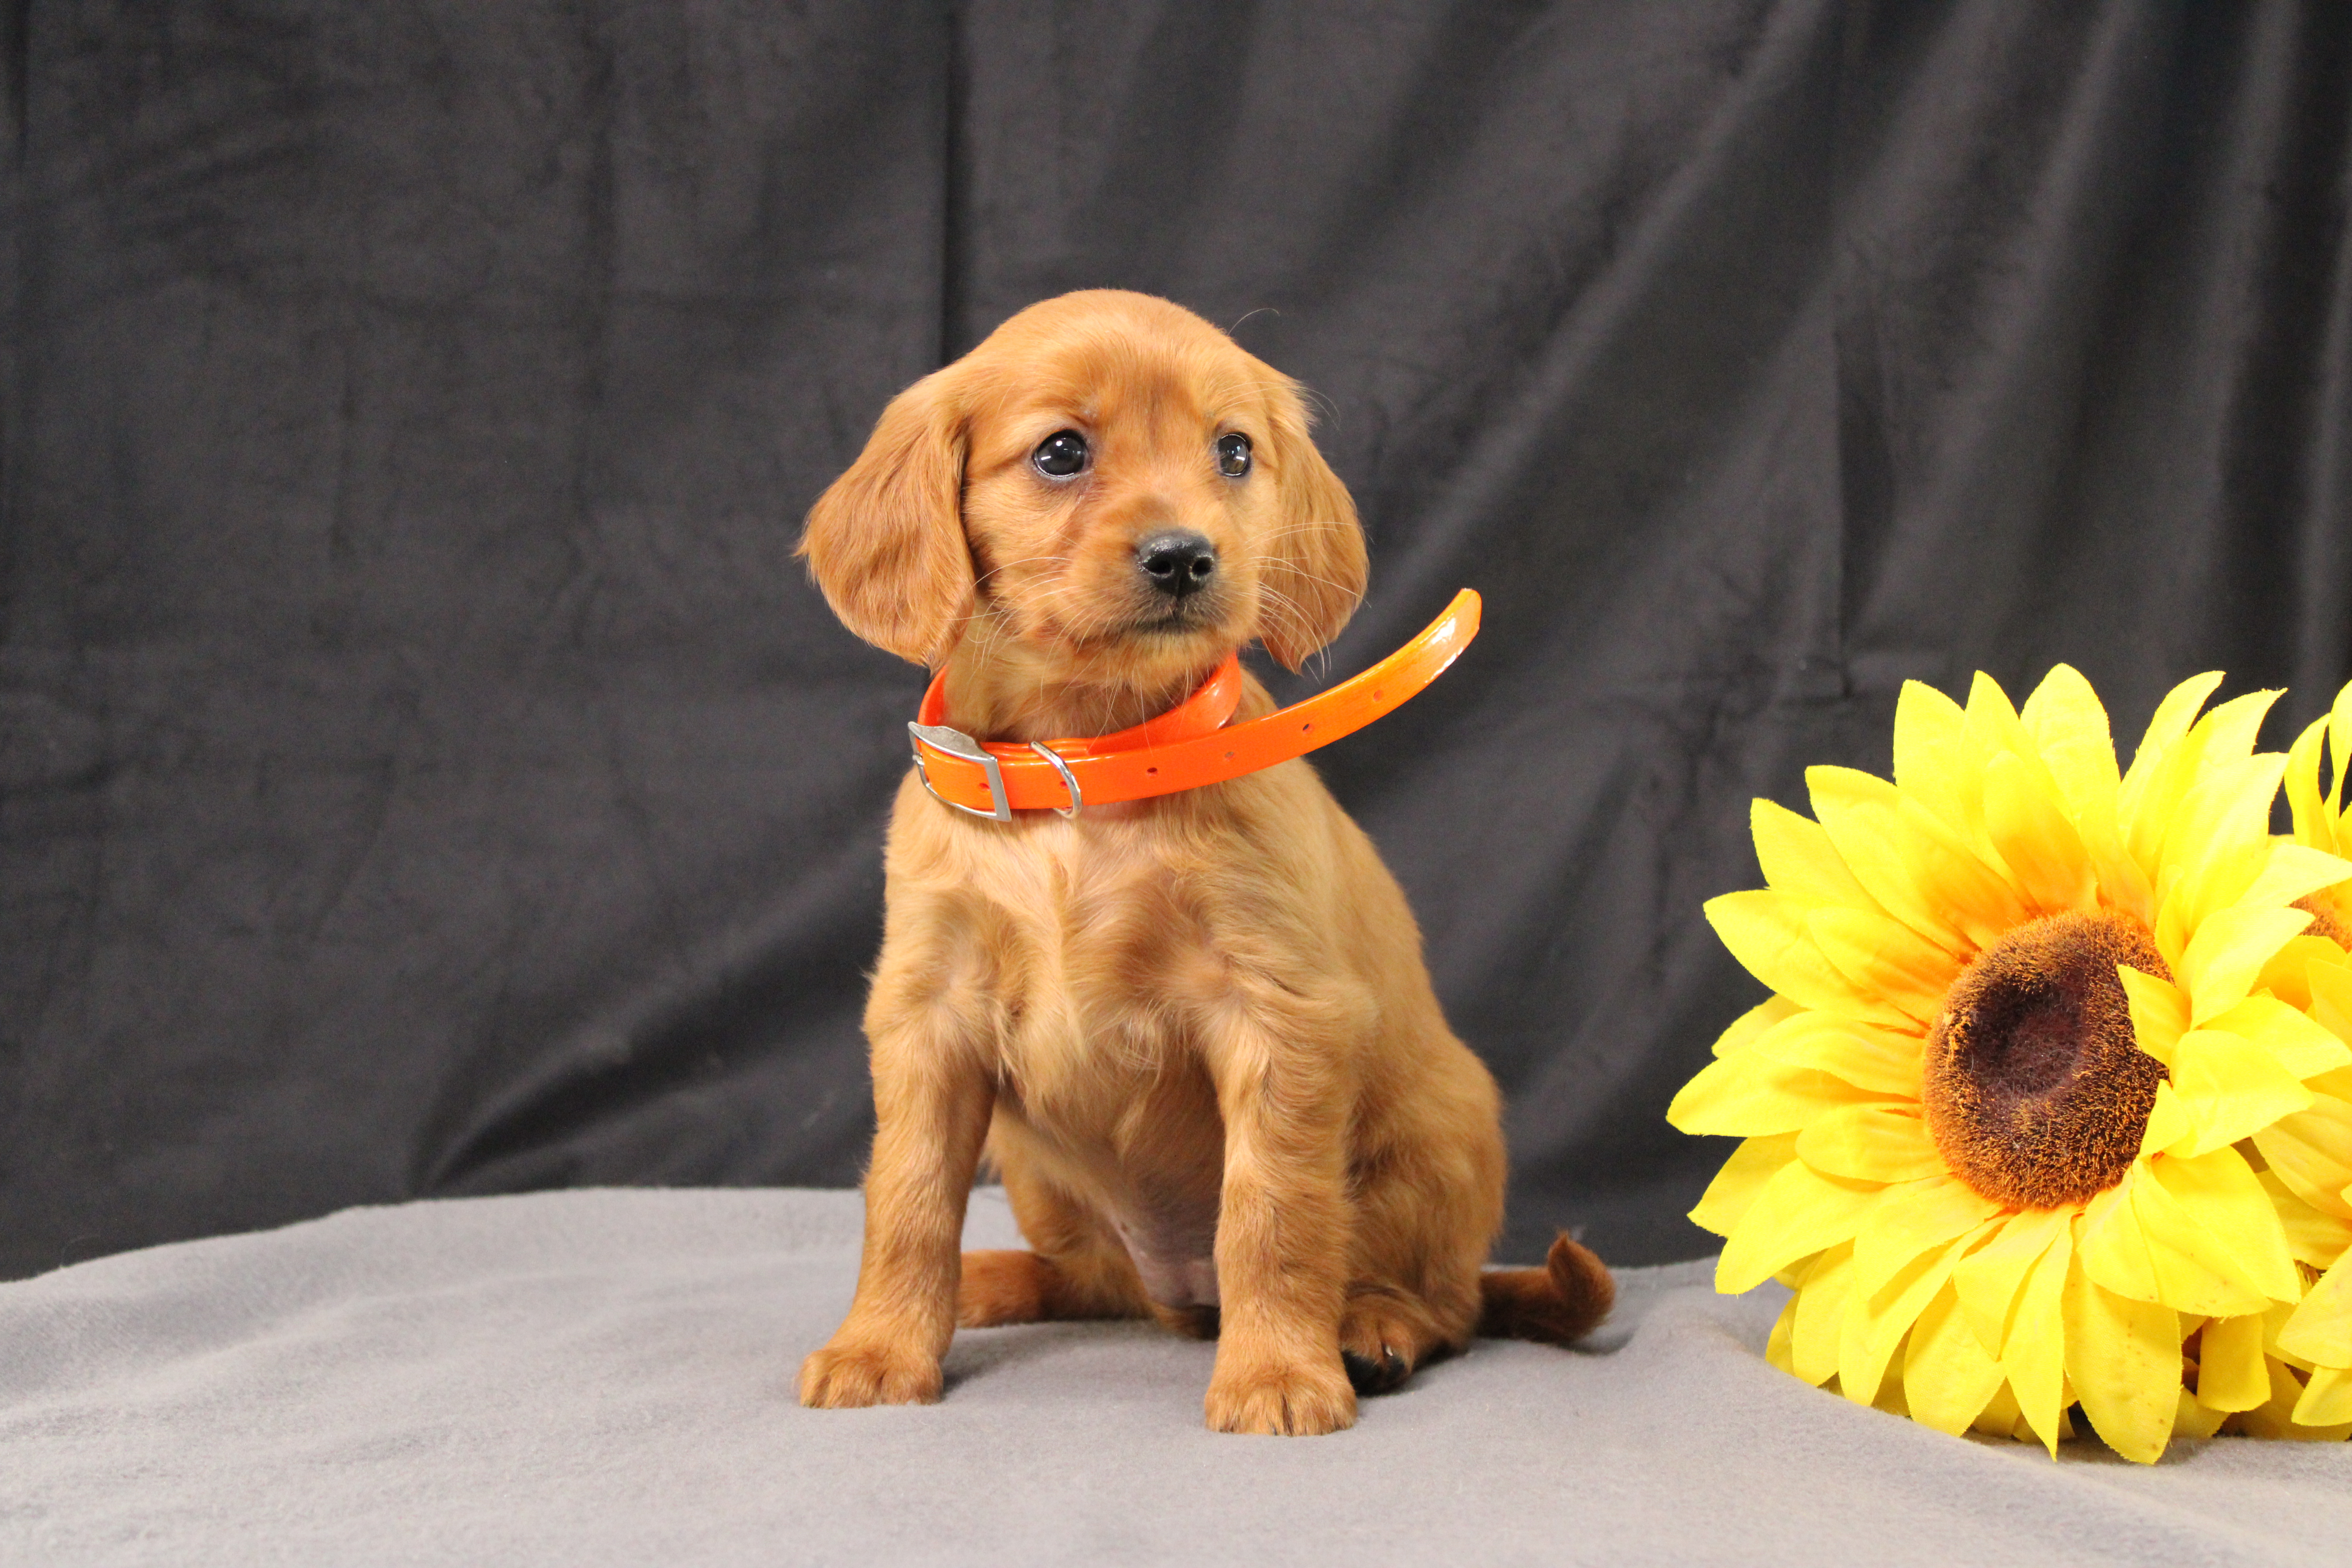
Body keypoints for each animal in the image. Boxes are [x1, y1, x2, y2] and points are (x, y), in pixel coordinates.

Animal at [800, 285, 1609, 1439]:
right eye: (1061, 452)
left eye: (1232, 452)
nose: (1186, 556)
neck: (1087, 769)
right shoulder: (930, 1013)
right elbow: (906, 1199)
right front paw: (880, 1347)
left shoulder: (1278, 1014)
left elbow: (1270, 1215)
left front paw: (1277, 1375)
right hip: (1037, 1168)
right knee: (1093, 1280)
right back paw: (996, 1280)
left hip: (1436, 1128)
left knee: (1445, 1300)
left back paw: (1372, 1328)